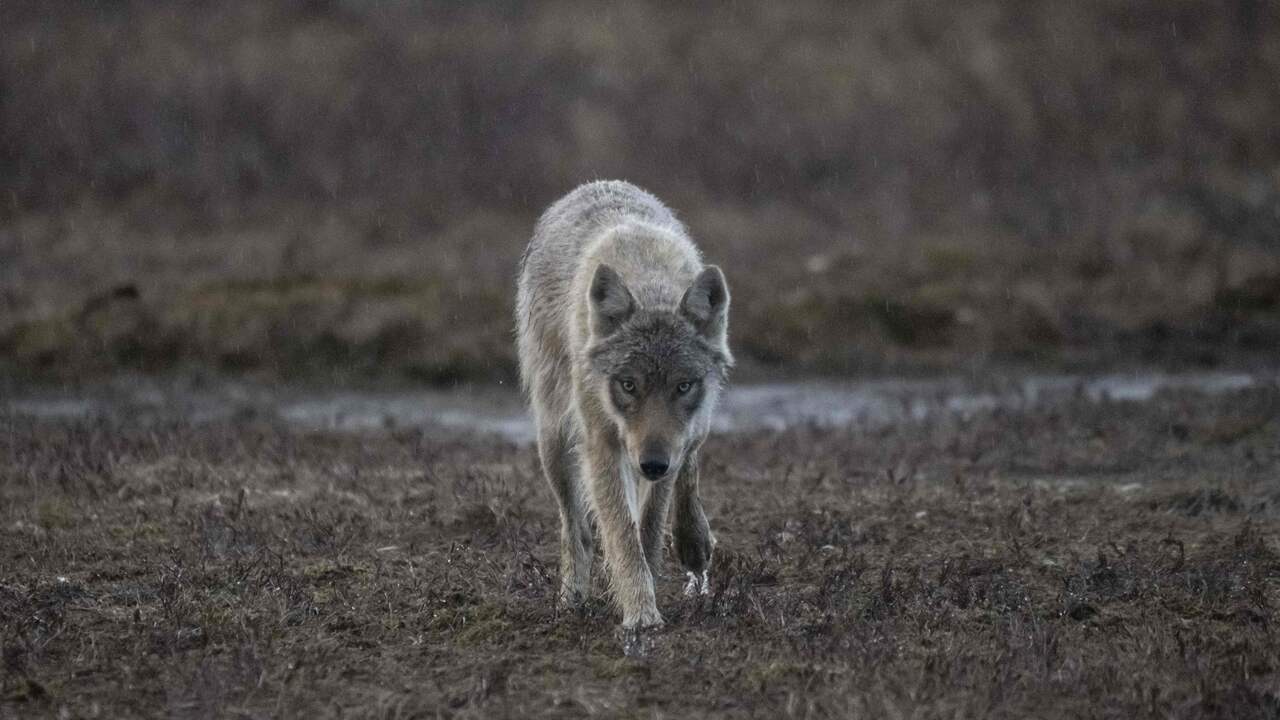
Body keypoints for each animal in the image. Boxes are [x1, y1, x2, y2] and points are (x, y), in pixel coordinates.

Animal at [509, 180, 732, 627]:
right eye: (628, 385)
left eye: (684, 386)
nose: (652, 464)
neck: (648, 280)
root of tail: (592, 185)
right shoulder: (603, 446)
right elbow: (621, 535)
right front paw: (641, 615)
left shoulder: (670, 446)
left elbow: (648, 527)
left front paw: (655, 581)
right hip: (555, 440)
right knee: (577, 528)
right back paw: (572, 599)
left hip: (690, 431)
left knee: (689, 465)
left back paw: (694, 543)